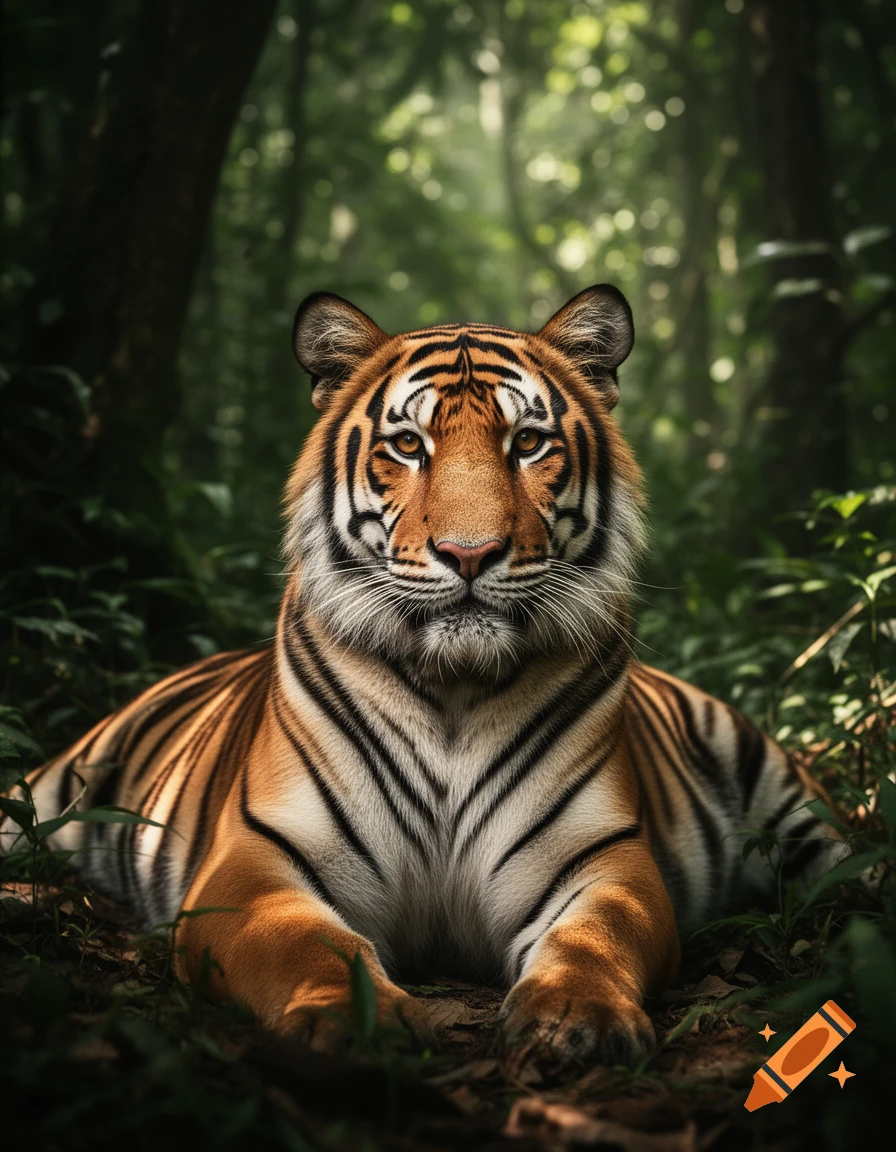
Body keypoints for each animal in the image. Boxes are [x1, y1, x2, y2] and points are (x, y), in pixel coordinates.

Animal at [3, 285, 843, 1068]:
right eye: (407, 445)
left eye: (528, 442)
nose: (470, 554)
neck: (455, 691)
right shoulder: (257, 864)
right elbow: (307, 945)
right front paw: (353, 1019)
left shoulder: (600, 859)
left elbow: (593, 940)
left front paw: (579, 1018)